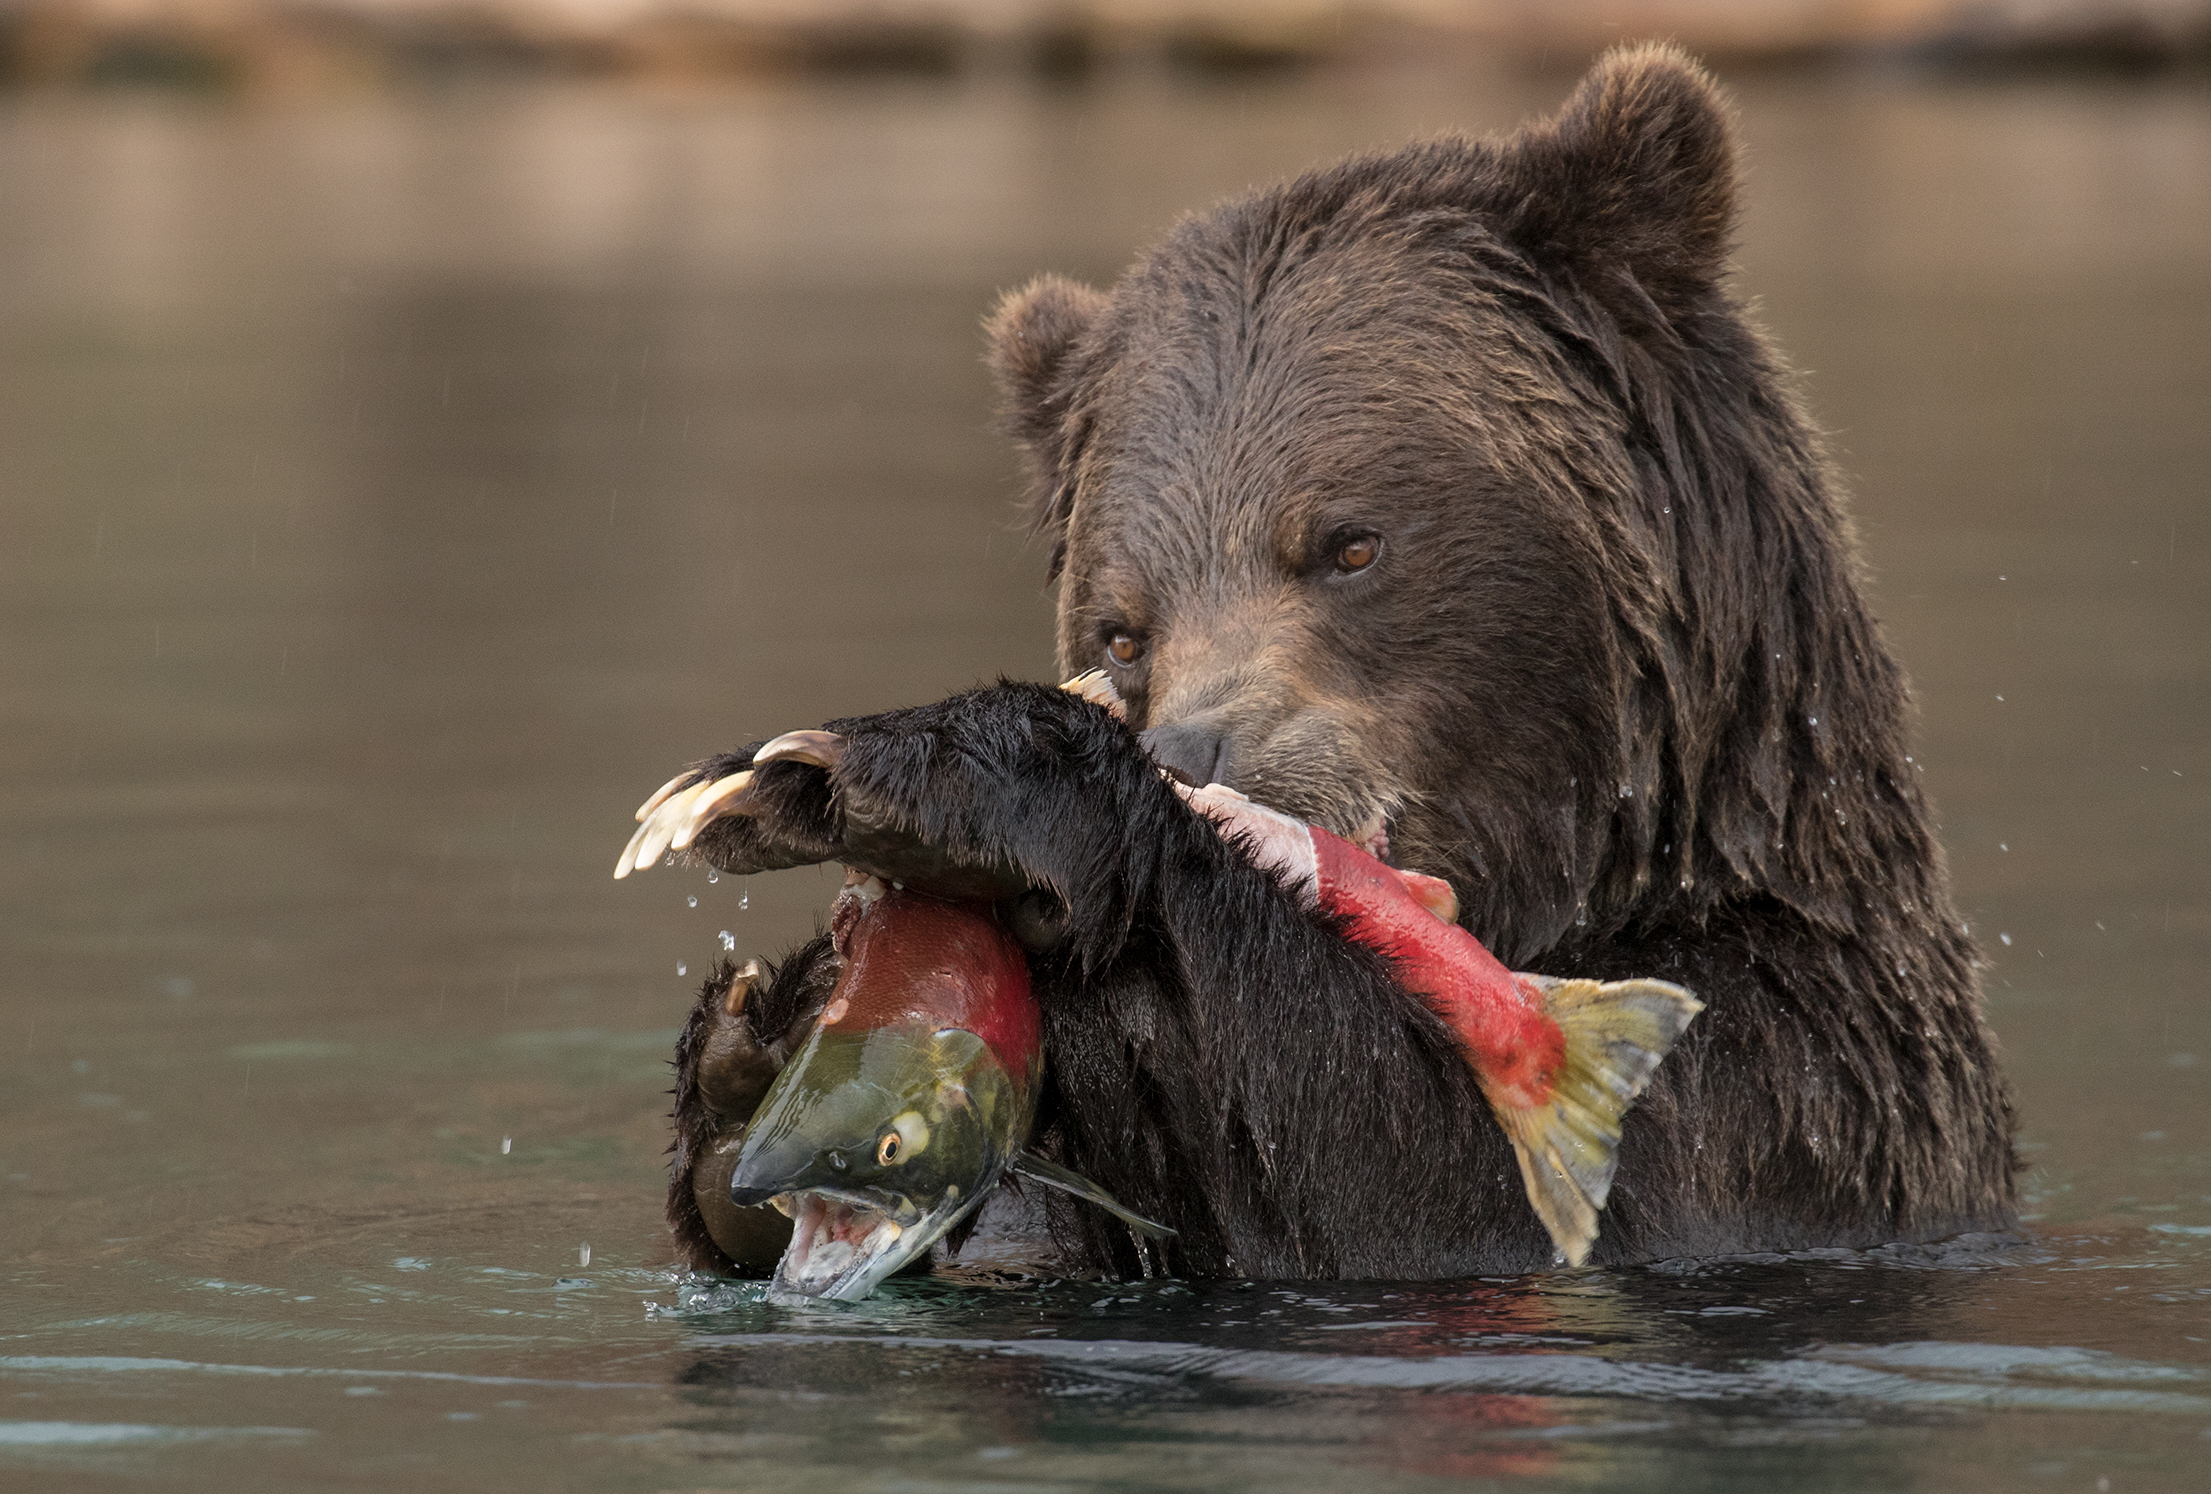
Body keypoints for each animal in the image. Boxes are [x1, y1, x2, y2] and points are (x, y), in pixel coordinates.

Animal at [657, 41, 2017, 1281]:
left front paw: (940, 781)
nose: (1195, 748)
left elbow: (1423, 1175)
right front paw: (764, 1032)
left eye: (1349, 542)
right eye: (1121, 626)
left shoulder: (1805, 1094)